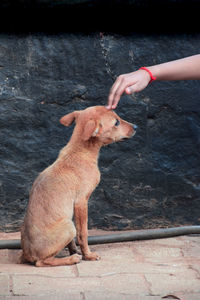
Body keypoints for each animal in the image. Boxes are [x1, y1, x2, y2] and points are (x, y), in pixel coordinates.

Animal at [21, 106, 137, 268]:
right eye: (116, 122)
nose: (136, 127)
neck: (80, 151)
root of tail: (27, 254)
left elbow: (73, 242)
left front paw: (74, 250)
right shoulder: (81, 202)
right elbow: (83, 233)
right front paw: (87, 255)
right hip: (69, 226)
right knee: (41, 262)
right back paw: (71, 259)